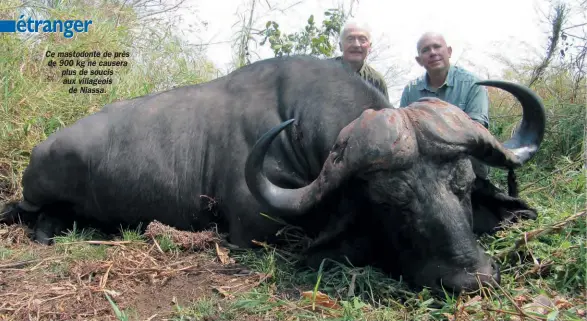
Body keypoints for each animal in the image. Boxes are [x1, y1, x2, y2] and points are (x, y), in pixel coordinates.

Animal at [1, 54, 548, 292]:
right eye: (392, 201)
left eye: (463, 188)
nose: (470, 279)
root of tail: (43, 149)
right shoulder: (256, 232)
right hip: (39, 198)